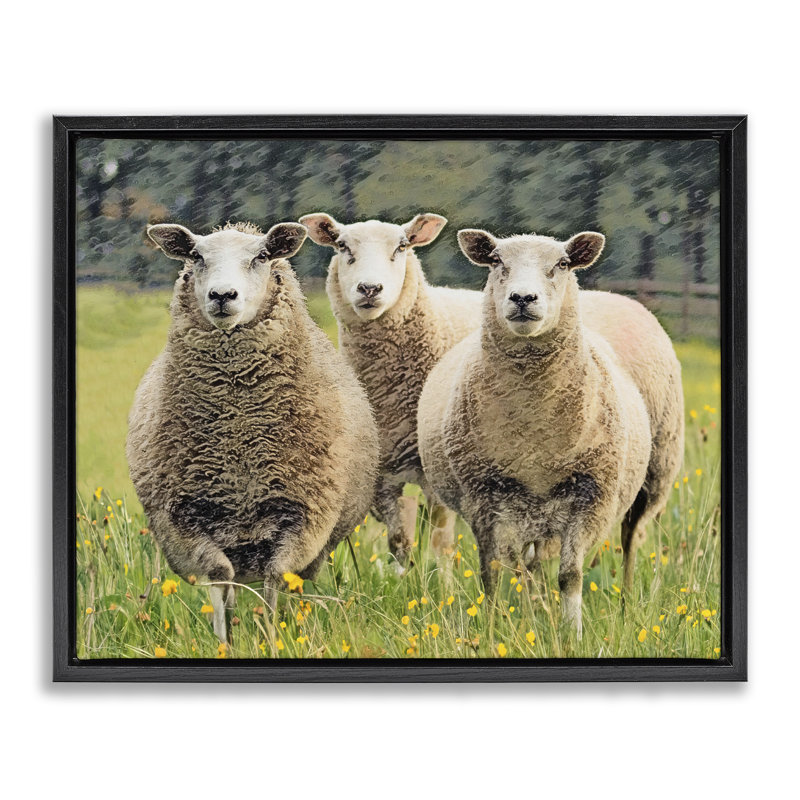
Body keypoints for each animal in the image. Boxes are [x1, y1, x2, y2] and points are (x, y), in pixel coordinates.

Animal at [127, 221, 379, 642]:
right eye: (195, 256)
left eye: (261, 256)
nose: (222, 295)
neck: (238, 433)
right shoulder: (184, 519)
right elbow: (220, 577)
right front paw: (224, 641)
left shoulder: (303, 515)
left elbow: (276, 578)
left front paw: (272, 639)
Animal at [299, 212, 483, 562]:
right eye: (342, 246)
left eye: (401, 247)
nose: (370, 288)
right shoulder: (381, 477)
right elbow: (399, 543)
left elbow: (440, 542)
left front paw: (439, 576)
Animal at [417, 228, 684, 635]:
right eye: (496, 261)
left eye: (562, 264)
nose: (523, 298)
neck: (535, 433)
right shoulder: (483, 496)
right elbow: (493, 572)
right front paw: (493, 628)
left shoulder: (592, 495)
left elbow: (571, 575)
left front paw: (572, 632)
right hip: (532, 511)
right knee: (531, 564)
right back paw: (536, 609)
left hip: (654, 475)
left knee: (631, 542)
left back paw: (626, 606)